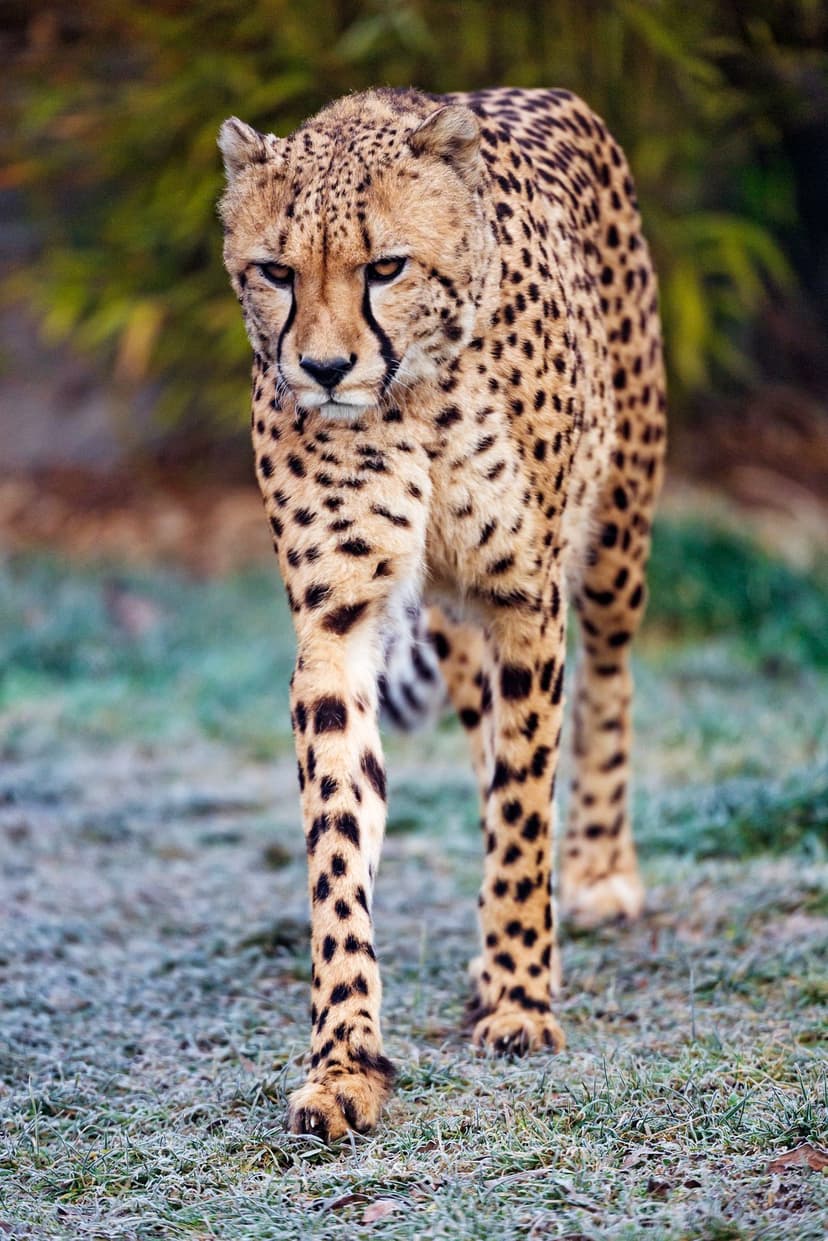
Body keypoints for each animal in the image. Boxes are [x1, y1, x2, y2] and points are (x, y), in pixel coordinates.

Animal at [218, 85, 666, 1142]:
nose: (323, 368)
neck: (409, 397)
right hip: (457, 622)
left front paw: (520, 996)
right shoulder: (340, 623)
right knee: (489, 742)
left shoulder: (524, 596)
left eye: (385, 266)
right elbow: (340, 839)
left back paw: (593, 874)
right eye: (275, 272)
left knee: (603, 687)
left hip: (617, 535)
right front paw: (344, 1061)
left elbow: (525, 801)